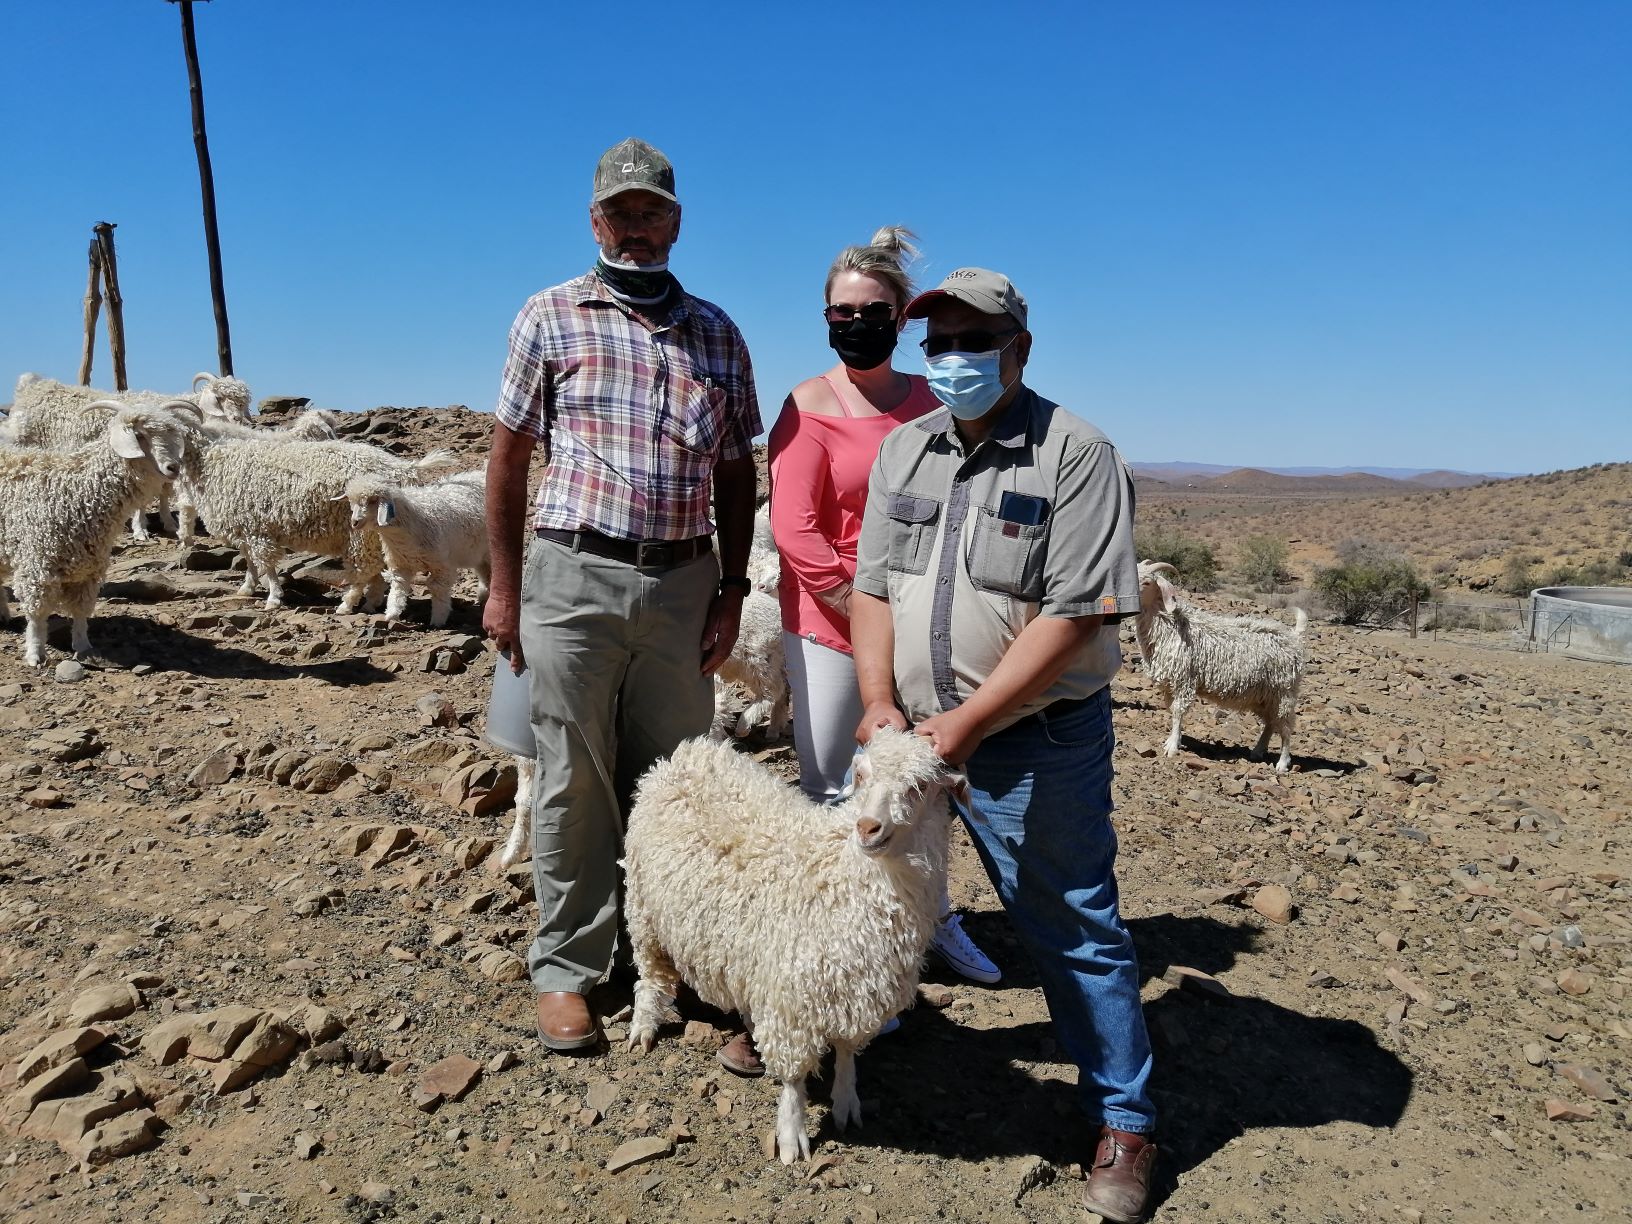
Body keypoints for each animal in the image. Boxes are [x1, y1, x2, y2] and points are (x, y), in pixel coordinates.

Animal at [0, 403, 199, 665]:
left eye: (171, 434)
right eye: (139, 436)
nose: (173, 467)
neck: (76, 491)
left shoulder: (90, 567)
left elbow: (81, 610)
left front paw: (84, 647)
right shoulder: (37, 564)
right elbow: (37, 613)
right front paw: (35, 653)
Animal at [187, 437, 456, 616]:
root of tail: (407, 469)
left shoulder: (257, 528)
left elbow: (267, 565)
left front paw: (273, 598)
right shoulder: (246, 528)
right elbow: (250, 560)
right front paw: (247, 588)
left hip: (362, 534)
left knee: (364, 568)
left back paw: (347, 605)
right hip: (376, 536)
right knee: (374, 570)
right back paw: (371, 603)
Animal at [341, 463, 486, 626]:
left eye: (373, 500)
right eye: (351, 501)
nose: (354, 522)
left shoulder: (442, 566)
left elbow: (438, 590)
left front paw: (438, 620)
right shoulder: (400, 563)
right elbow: (397, 589)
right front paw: (391, 615)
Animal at [620, 727, 953, 1168]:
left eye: (919, 787)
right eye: (861, 775)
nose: (868, 827)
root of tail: (687, 753)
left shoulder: (855, 991)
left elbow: (846, 1053)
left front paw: (846, 1101)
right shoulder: (792, 1000)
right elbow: (794, 1077)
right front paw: (792, 1135)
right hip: (644, 910)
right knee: (651, 977)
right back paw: (643, 1026)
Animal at [1135, 558, 1312, 770]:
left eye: (1146, 582)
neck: (1172, 624)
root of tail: (1294, 637)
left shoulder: (1185, 679)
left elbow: (1178, 711)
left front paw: (1171, 747)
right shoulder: (1170, 683)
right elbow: (1172, 709)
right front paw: (1174, 740)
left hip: (1284, 691)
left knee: (1285, 726)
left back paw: (1283, 763)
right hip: (1264, 695)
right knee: (1271, 722)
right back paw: (1258, 751)